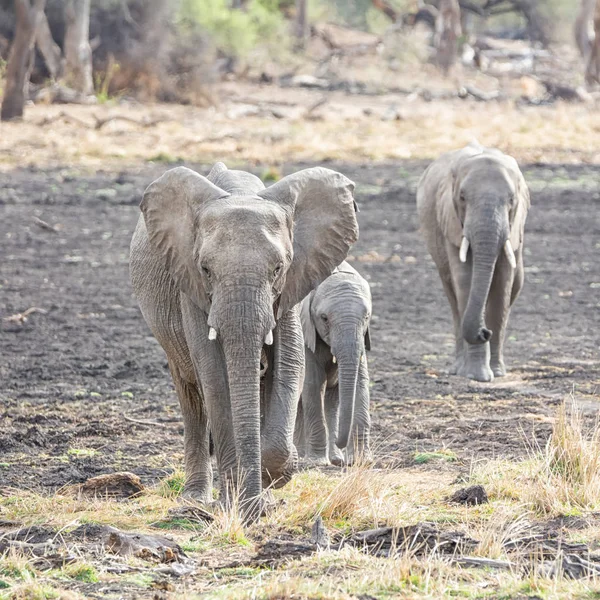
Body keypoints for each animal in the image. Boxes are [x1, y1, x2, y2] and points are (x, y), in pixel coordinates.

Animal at [129, 162, 358, 516]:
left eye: (278, 268)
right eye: (206, 269)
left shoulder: (292, 286)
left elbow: (290, 363)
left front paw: (275, 481)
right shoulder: (190, 286)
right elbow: (214, 375)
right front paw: (239, 503)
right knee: (192, 398)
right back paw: (196, 499)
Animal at [294, 262, 372, 464]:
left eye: (366, 317)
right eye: (324, 318)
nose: (340, 442)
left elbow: (360, 385)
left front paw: (360, 461)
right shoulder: (305, 333)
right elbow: (313, 385)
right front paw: (316, 462)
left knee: (331, 401)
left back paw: (333, 458)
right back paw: (301, 456)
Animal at [418, 143, 528, 382]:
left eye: (511, 200)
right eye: (462, 197)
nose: (484, 332)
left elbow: (502, 287)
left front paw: (496, 372)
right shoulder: (450, 222)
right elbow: (465, 280)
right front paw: (478, 376)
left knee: (516, 283)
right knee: (453, 298)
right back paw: (459, 368)